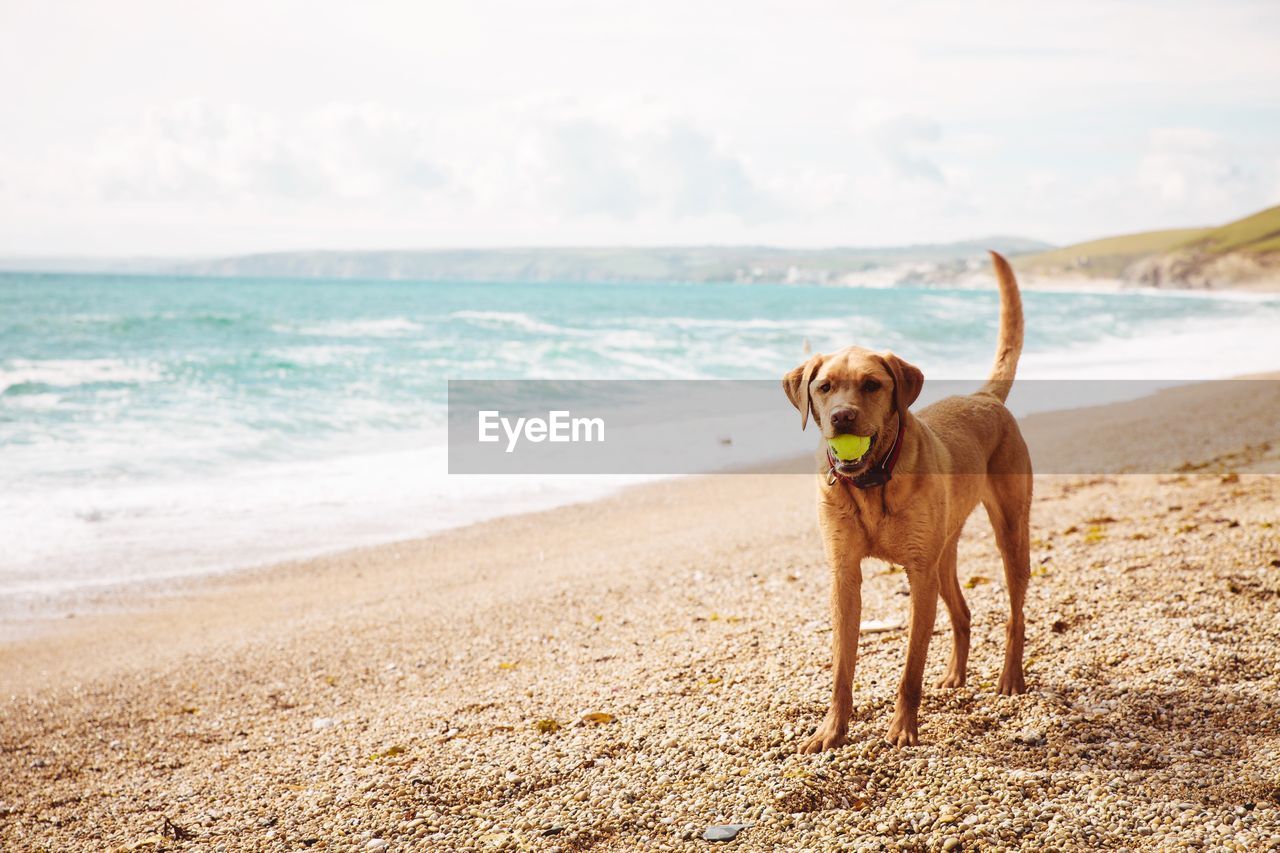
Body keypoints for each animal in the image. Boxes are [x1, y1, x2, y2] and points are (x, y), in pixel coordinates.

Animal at [778, 252, 1029, 753]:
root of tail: (984, 397)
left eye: (872, 385)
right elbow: (842, 666)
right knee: (963, 613)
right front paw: (831, 730)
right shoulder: (844, 575)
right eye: (824, 387)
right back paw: (954, 676)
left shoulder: (918, 573)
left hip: (1010, 533)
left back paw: (1011, 678)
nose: (842, 417)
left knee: (1016, 613)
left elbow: (911, 667)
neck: (872, 480)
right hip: (944, 553)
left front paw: (903, 728)